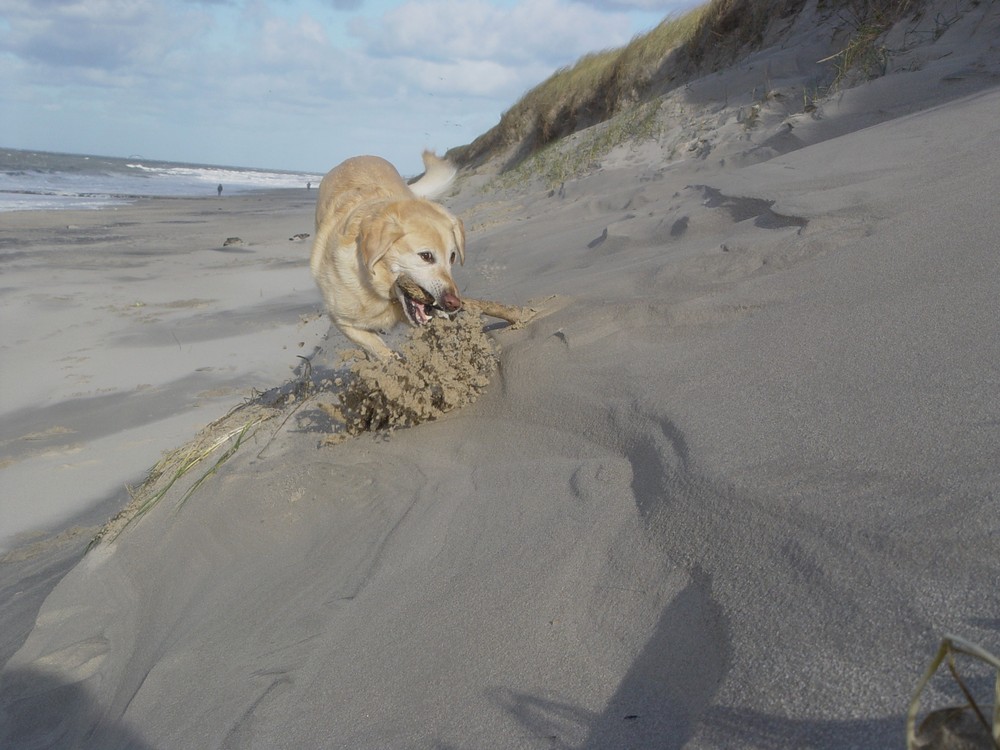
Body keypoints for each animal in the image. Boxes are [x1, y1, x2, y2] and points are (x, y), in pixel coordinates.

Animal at [308, 151, 464, 360]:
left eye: (452, 257)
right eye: (426, 256)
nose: (454, 304)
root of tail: (358, 157)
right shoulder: (342, 321)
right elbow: (376, 347)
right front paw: (392, 361)